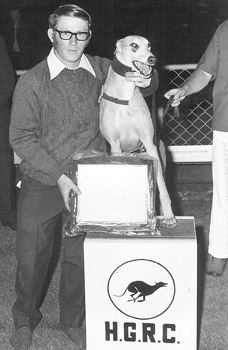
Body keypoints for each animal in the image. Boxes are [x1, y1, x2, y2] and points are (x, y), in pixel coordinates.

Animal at [99, 35, 176, 227]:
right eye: (134, 45)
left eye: (149, 45)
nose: (153, 59)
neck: (124, 97)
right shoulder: (115, 147)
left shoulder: (150, 144)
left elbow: (162, 187)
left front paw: (169, 216)